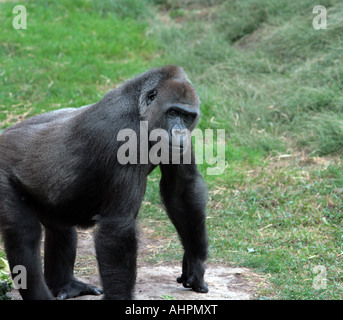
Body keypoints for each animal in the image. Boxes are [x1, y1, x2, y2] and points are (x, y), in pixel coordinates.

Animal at [0, 65, 208, 300]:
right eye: (172, 113)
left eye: (187, 116)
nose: (180, 132)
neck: (140, 110)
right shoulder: (124, 137)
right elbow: (118, 228)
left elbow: (181, 191)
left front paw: (195, 262)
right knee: (24, 238)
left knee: (60, 228)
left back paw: (66, 285)